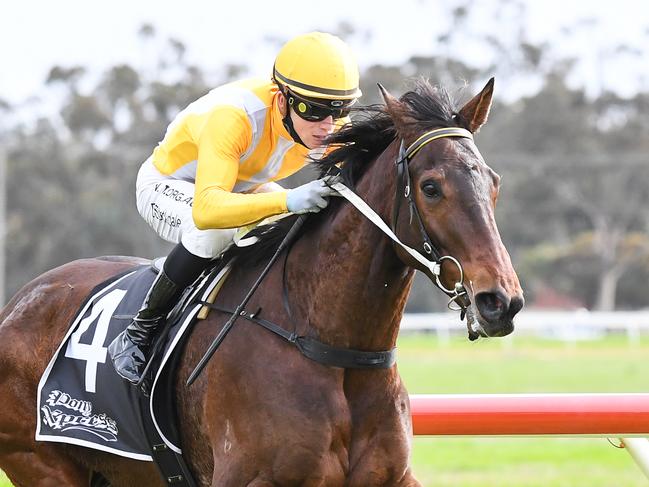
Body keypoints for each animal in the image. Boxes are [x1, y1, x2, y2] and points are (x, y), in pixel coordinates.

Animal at [0, 78, 520, 486]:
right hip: (43, 464)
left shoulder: (392, 478)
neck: (327, 344)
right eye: (431, 187)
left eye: (493, 183)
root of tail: (19, 302)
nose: (501, 302)